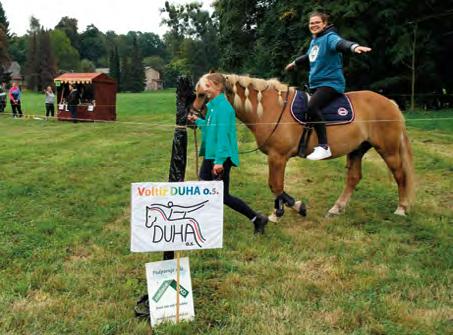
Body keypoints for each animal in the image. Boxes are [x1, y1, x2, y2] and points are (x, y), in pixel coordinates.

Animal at [191, 72, 414, 222]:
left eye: (202, 94)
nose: (191, 117)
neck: (271, 109)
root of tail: (390, 103)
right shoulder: (276, 158)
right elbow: (277, 186)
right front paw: (278, 212)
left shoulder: (278, 156)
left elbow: (275, 185)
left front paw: (292, 208)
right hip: (357, 150)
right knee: (353, 178)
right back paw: (337, 208)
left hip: (388, 150)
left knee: (400, 175)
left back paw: (402, 208)